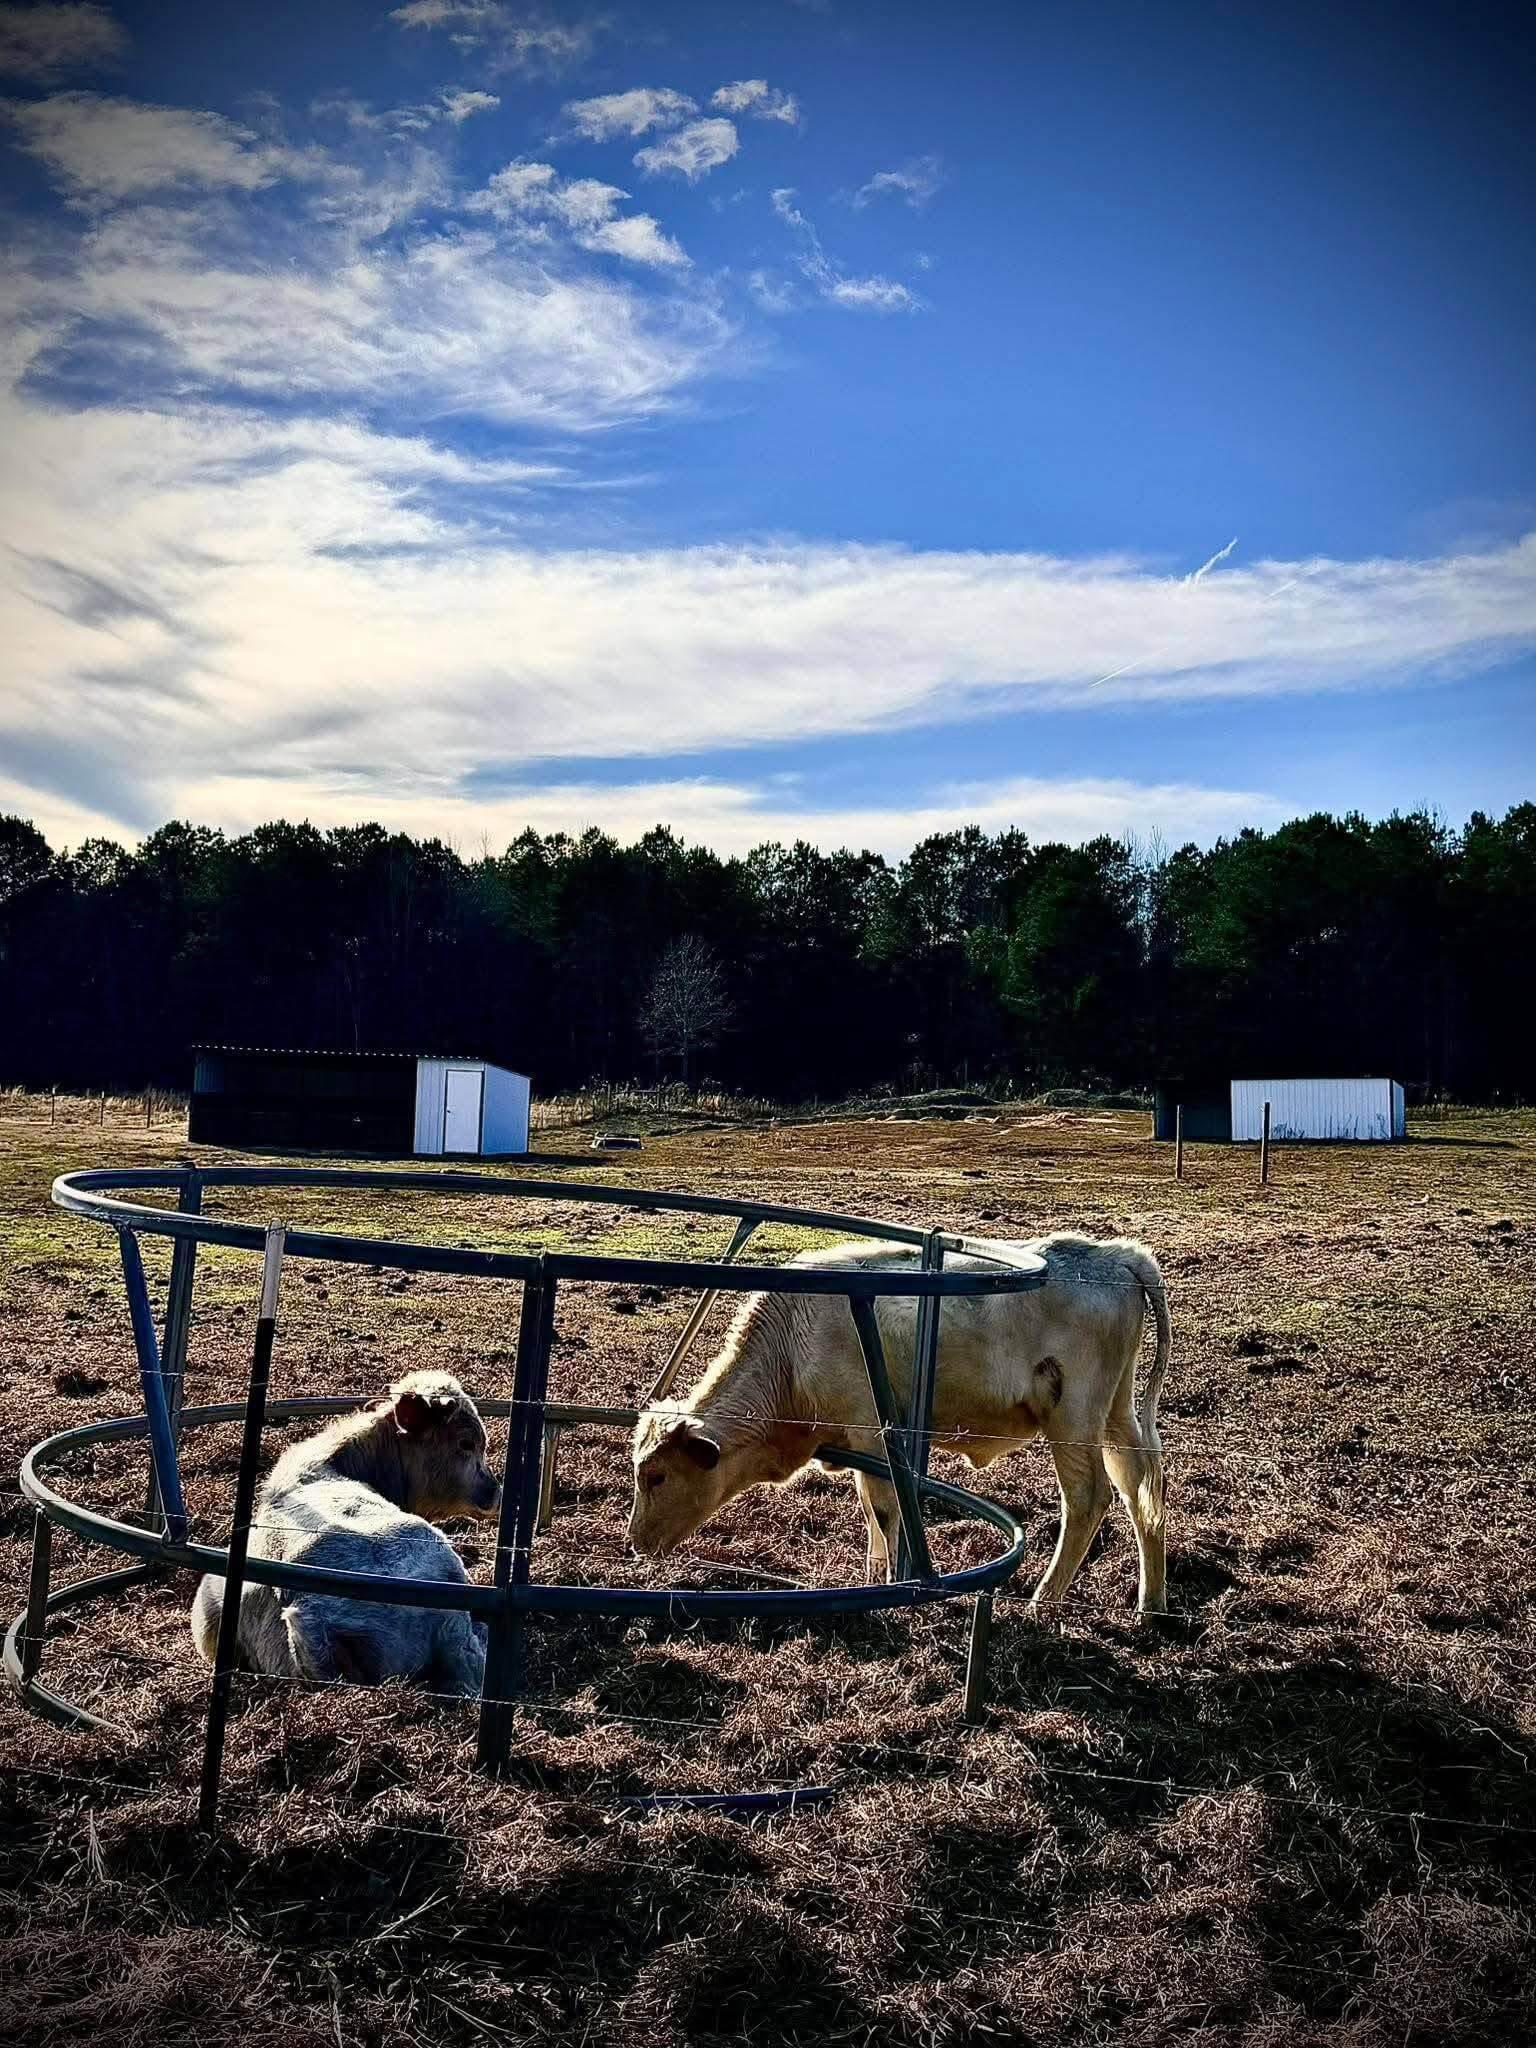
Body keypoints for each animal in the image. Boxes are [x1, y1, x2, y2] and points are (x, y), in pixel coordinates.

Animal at [628, 1234, 1170, 1613]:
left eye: (656, 1475)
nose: (635, 1543)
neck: (792, 1346)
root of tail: (1117, 1254)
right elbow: (871, 1509)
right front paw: (872, 1576)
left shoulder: (871, 1432)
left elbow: (884, 1509)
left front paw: (887, 1587)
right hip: (1116, 1413)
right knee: (1142, 1490)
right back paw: (1151, 1604)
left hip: (1074, 1416)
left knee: (1088, 1497)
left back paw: (1043, 1600)